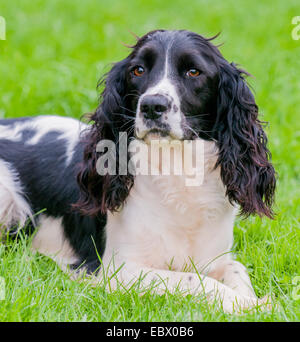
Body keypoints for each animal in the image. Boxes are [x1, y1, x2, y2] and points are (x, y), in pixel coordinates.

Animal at [0, 30, 276, 312]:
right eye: (138, 70)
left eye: (193, 72)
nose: (152, 106)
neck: (178, 173)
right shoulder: (120, 270)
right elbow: (195, 280)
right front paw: (253, 305)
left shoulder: (215, 257)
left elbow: (236, 268)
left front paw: (255, 300)